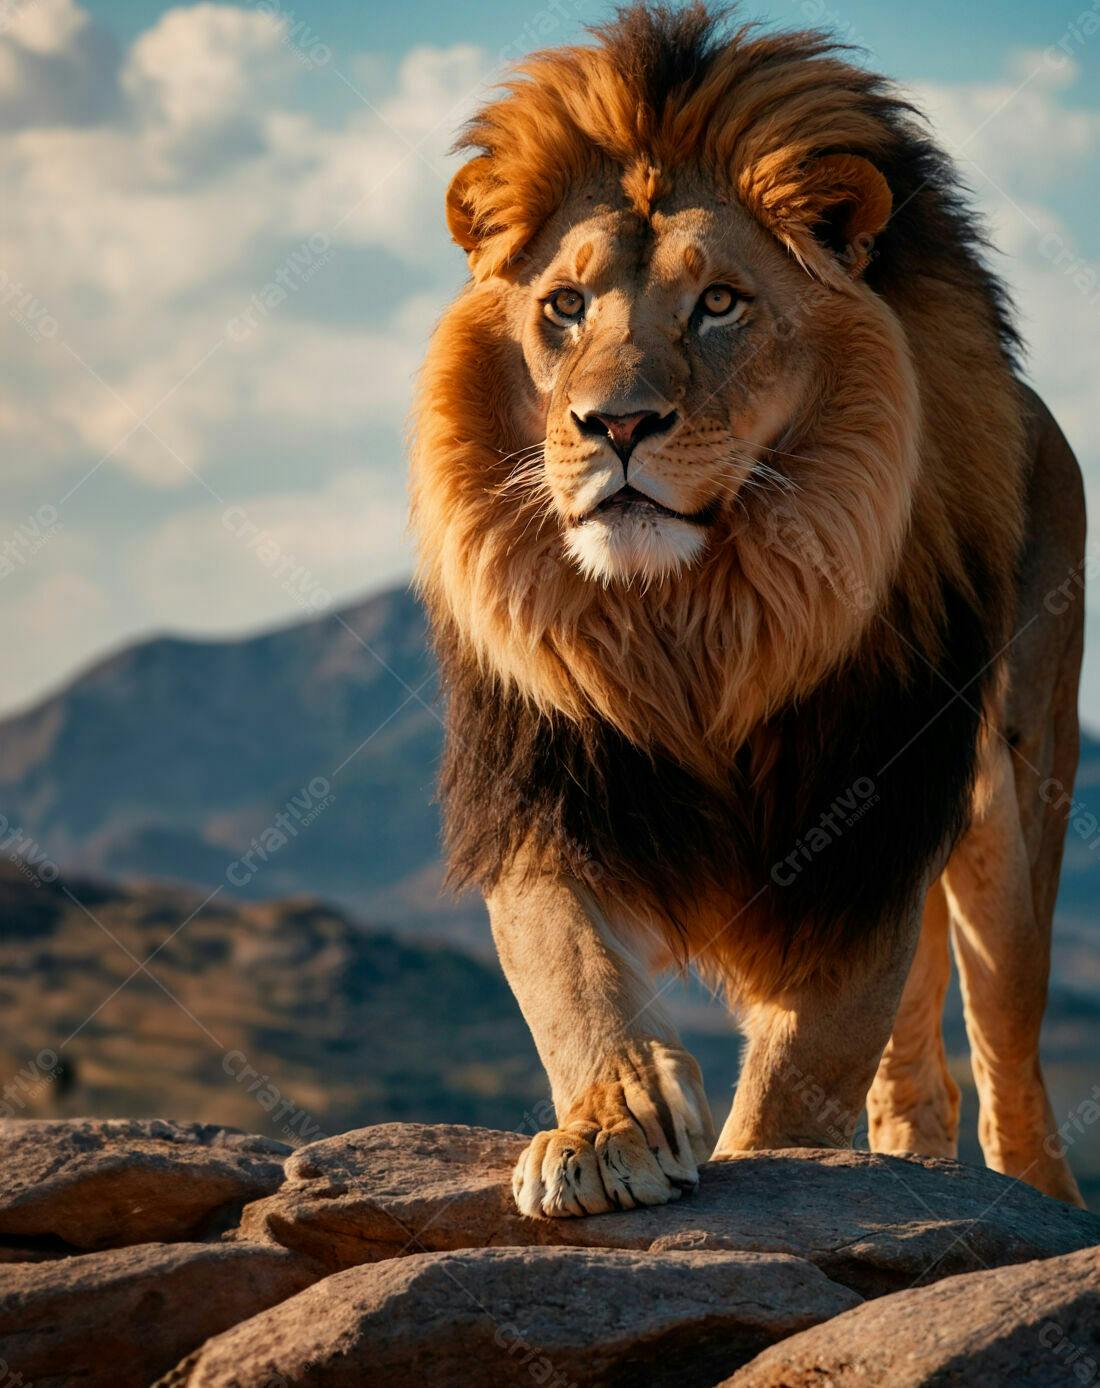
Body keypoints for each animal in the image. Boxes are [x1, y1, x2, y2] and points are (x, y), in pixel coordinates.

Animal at [410, 3, 1086, 1214]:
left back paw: (1038, 1196)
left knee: (1007, 1038)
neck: (696, 618)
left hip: (1013, 793)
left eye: (718, 303)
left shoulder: (866, 810)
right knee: (917, 1067)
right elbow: (571, 976)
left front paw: (760, 1158)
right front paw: (605, 1131)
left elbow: (800, 1070)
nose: (613, 424)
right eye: (563, 307)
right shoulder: (551, 791)